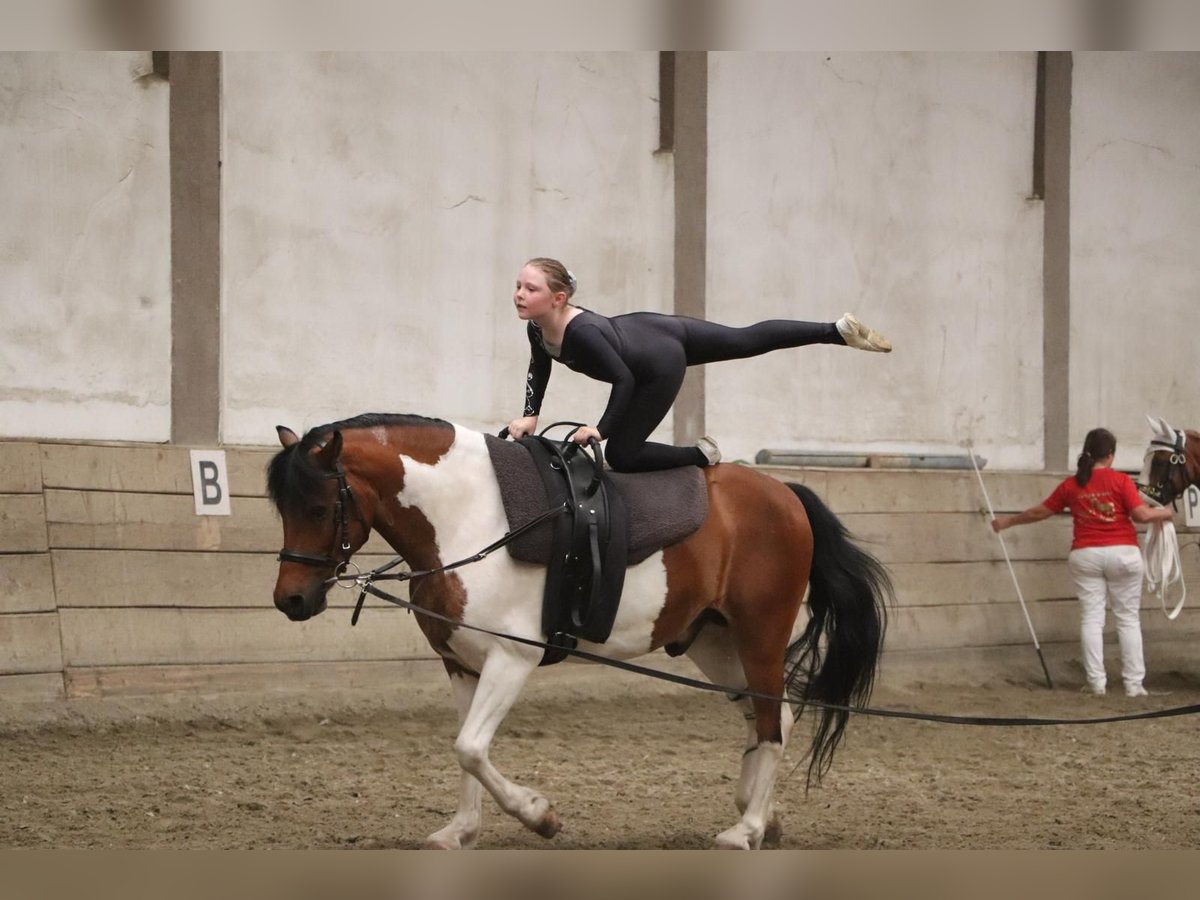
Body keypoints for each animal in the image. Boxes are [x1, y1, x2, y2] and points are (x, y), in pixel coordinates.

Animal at [270, 415, 892, 854]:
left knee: (770, 722)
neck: (468, 518)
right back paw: (759, 816)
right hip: (714, 642)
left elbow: (470, 747)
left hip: (760, 634)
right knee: (774, 718)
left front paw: (539, 815)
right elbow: (464, 752)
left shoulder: (511, 659)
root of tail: (786, 494)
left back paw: (745, 829)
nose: (290, 600)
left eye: (320, 507)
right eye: (283, 508)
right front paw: (460, 832)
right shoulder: (462, 664)